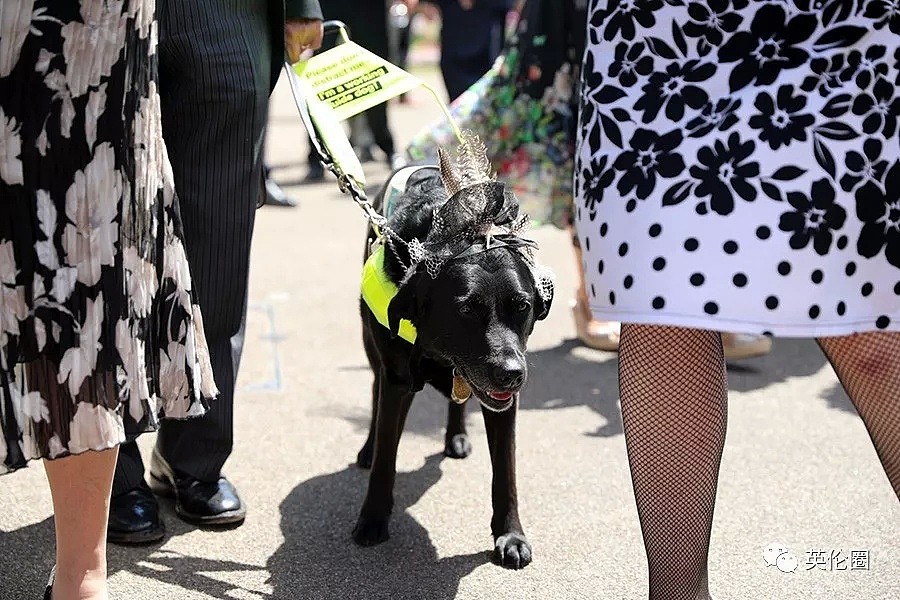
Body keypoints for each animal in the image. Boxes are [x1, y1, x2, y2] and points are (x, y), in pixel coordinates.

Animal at [354, 149, 552, 568]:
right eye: (466, 310)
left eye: (522, 306)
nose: (512, 374)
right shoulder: (397, 381)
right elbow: (385, 458)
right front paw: (373, 518)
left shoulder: (503, 403)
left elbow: (505, 472)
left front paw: (510, 535)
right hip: (372, 350)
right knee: (375, 391)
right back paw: (367, 447)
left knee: (459, 399)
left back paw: (456, 436)